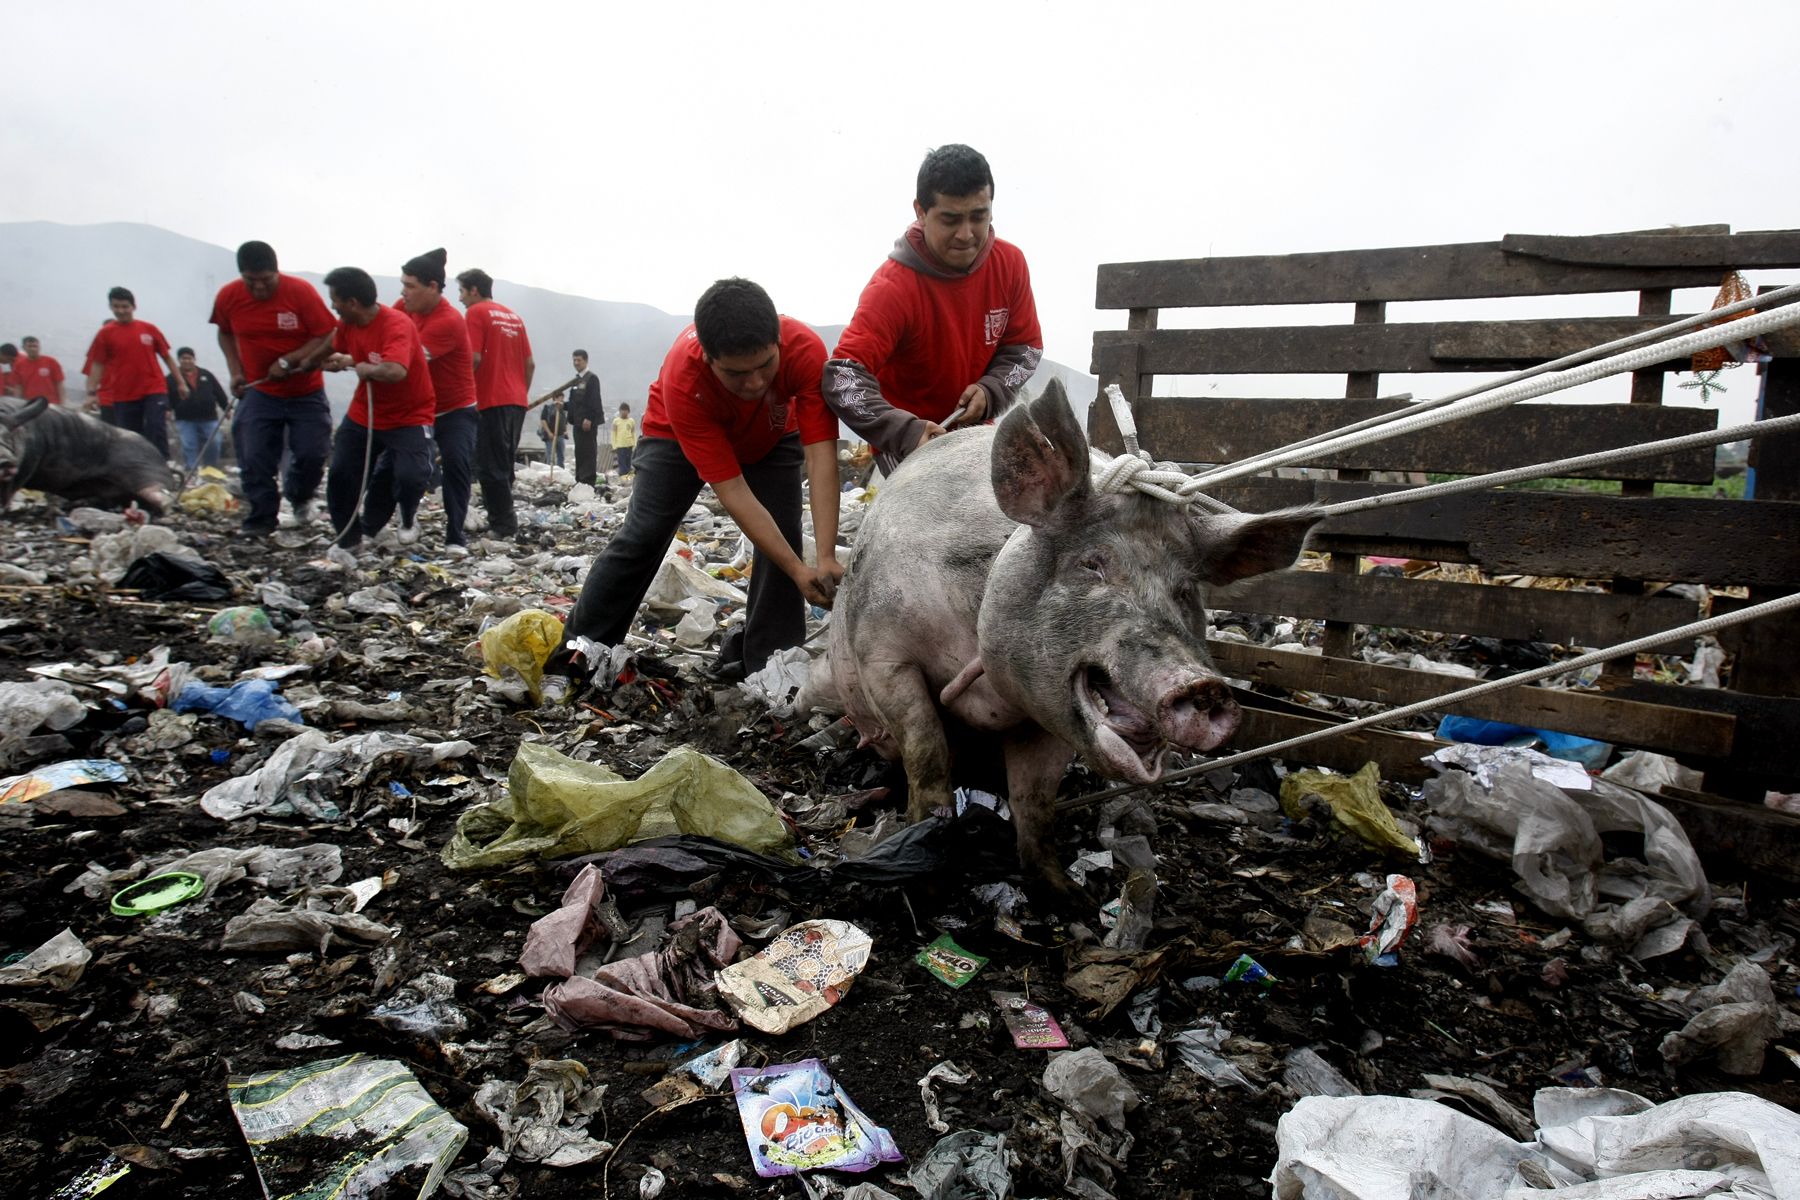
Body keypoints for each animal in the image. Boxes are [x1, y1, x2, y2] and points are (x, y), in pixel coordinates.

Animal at [0, 395, 177, 514]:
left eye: (8, 436)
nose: (6, 461)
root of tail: (164, 463)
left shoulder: (26, 464)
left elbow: (10, 487)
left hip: (147, 472)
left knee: (162, 496)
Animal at [820, 379, 1324, 895]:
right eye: (1092, 564)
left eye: (1185, 591)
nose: (1201, 685)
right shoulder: (882, 652)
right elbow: (927, 749)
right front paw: (920, 839)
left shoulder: (1047, 713)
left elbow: (1036, 800)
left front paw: (1064, 891)